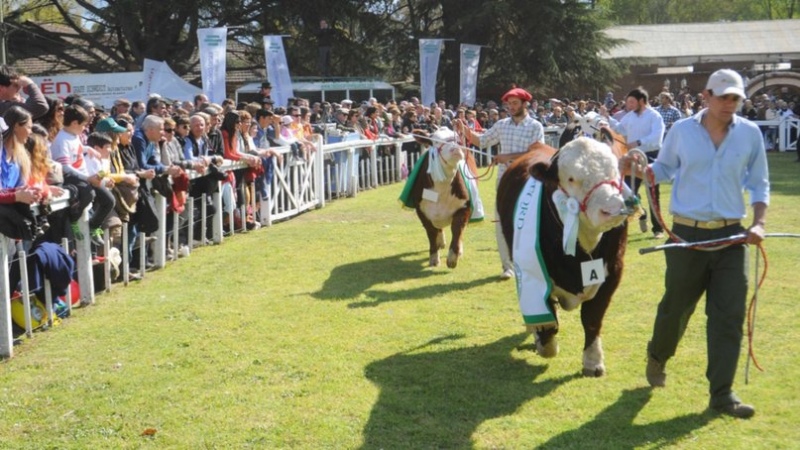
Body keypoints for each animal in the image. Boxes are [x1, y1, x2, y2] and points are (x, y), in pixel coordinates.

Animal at [404, 127, 472, 268]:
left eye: (457, 137)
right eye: (435, 141)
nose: (455, 148)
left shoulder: (464, 206)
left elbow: (457, 229)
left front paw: (452, 257)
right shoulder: (422, 211)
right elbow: (431, 233)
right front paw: (434, 258)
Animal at [496, 136, 636, 376]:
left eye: (615, 172)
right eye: (571, 178)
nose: (612, 209)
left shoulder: (613, 272)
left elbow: (592, 319)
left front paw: (593, 362)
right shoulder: (534, 275)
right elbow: (548, 321)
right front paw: (545, 344)